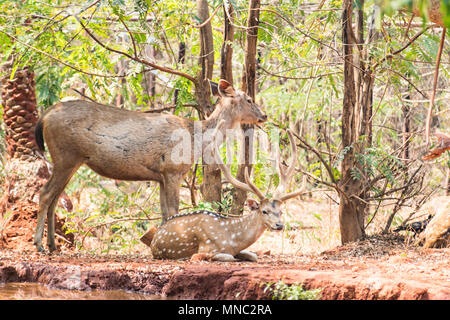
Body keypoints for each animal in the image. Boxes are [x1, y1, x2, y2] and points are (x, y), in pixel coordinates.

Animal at [35, 80, 268, 252]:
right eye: (249, 99)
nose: (264, 115)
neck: (195, 139)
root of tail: (44, 116)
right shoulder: (173, 170)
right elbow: (174, 210)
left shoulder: (161, 175)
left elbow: (165, 213)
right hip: (65, 156)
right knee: (45, 193)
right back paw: (39, 245)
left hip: (68, 161)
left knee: (56, 198)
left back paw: (53, 245)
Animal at [142, 121, 304, 262]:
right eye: (264, 211)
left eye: (281, 211)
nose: (279, 225)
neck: (232, 239)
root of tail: (156, 234)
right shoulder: (207, 248)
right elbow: (227, 257)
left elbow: (253, 256)